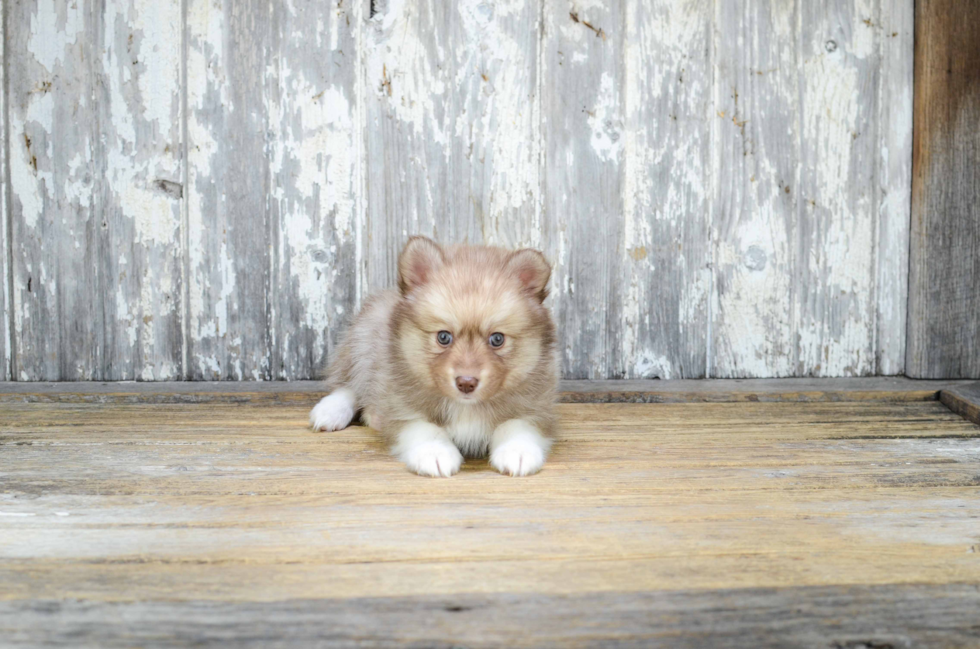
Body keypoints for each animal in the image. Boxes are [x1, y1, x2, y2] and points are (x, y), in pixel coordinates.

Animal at [314, 237, 560, 476]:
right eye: (443, 336)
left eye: (497, 339)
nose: (466, 383)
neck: (466, 407)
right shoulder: (402, 405)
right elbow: (425, 428)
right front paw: (435, 453)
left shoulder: (536, 406)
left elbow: (516, 425)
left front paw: (518, 451)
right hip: (363, 339)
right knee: (349, 384)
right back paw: (330, 411)